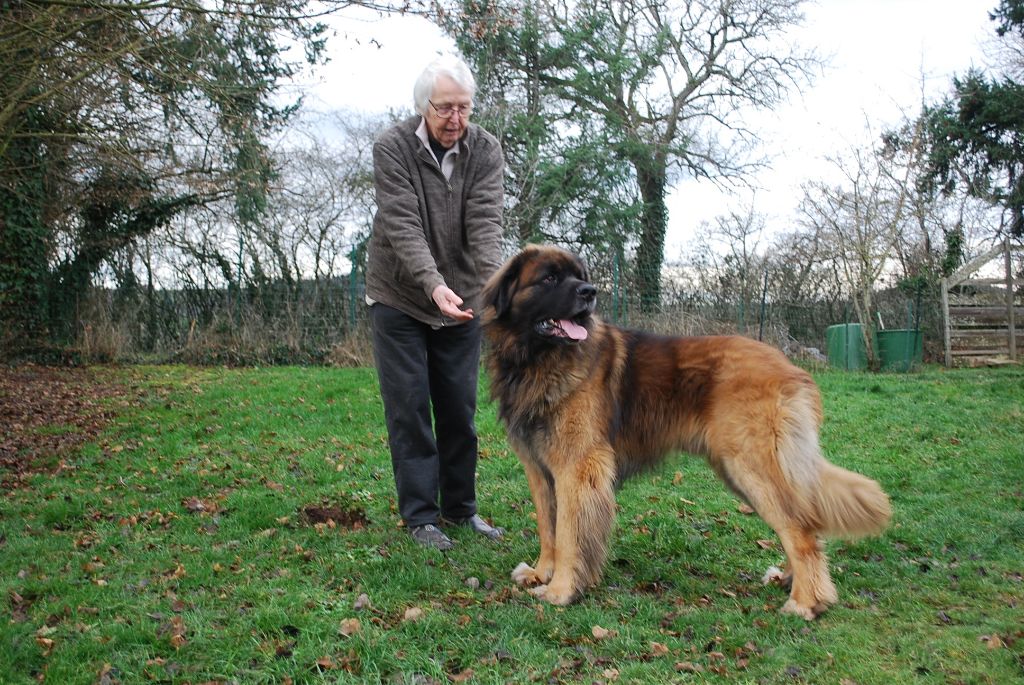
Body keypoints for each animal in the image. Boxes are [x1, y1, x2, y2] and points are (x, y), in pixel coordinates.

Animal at [479, 245, 888, 618]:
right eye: (549, 278)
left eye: (579, 276)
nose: (589, 292)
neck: (536, 361)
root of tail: (793, 369)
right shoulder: (539, 469)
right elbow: (548, 528)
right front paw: (541, 573)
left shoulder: (576, 469)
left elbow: (568, 534)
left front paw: (561, 590)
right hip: (744, 473)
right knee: (802, 523)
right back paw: (788, 580)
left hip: (752, 467)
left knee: (800, 531)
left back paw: (806, 601)